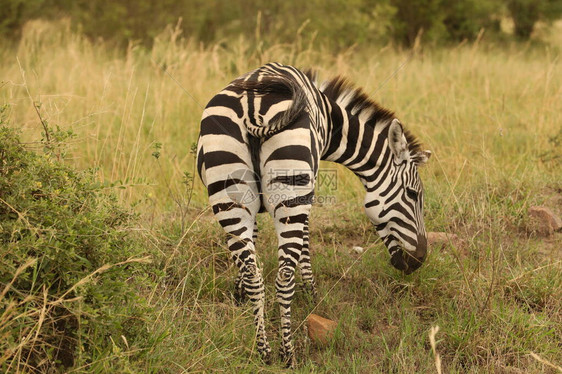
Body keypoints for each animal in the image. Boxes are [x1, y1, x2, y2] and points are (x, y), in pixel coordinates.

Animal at [195, 62, 430, 366]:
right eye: (413, 195)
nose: (419, 261)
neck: (330, 120)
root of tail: (252, 104)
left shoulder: (252, 205)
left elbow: (252, 245)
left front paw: (239, 292)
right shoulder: (309, 188)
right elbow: (306, 239)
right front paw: (311, 290)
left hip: (228, 195)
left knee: (255, 274)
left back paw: (263, 350)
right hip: (291, 192)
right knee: (284, 277)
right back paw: (287, 353)